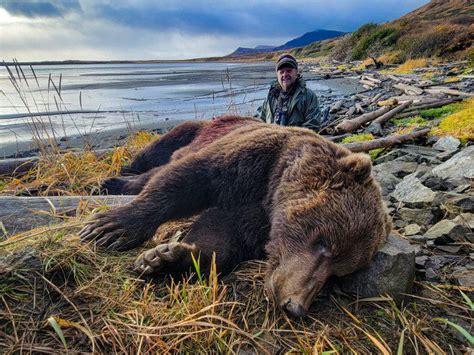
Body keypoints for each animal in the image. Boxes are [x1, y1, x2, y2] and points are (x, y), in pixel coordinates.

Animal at [82, 115, 392, 318]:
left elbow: (222, 238)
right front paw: (109, 227)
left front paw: (165, 257)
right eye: (325, 243)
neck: (272, 187)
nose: (296, 306)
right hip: (196, 129)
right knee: (155, 155)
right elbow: (185, 180)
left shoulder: (256, 217)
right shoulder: (250, 160)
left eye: (339, 272)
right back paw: (112, 181)